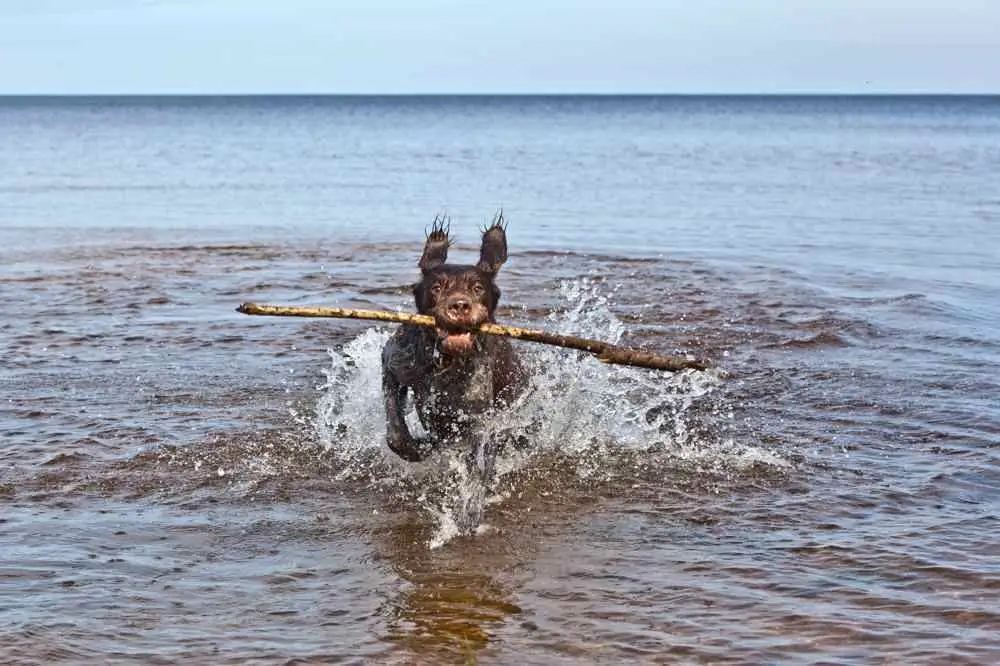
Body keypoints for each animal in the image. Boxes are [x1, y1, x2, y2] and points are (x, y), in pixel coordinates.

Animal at [380, 213, 528, 472]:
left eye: (478, 288)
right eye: (437, 287)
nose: (459, 305)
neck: (446, 362)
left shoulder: (477, 416)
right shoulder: (394, 364)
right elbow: (395, 432)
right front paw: (416, 448)